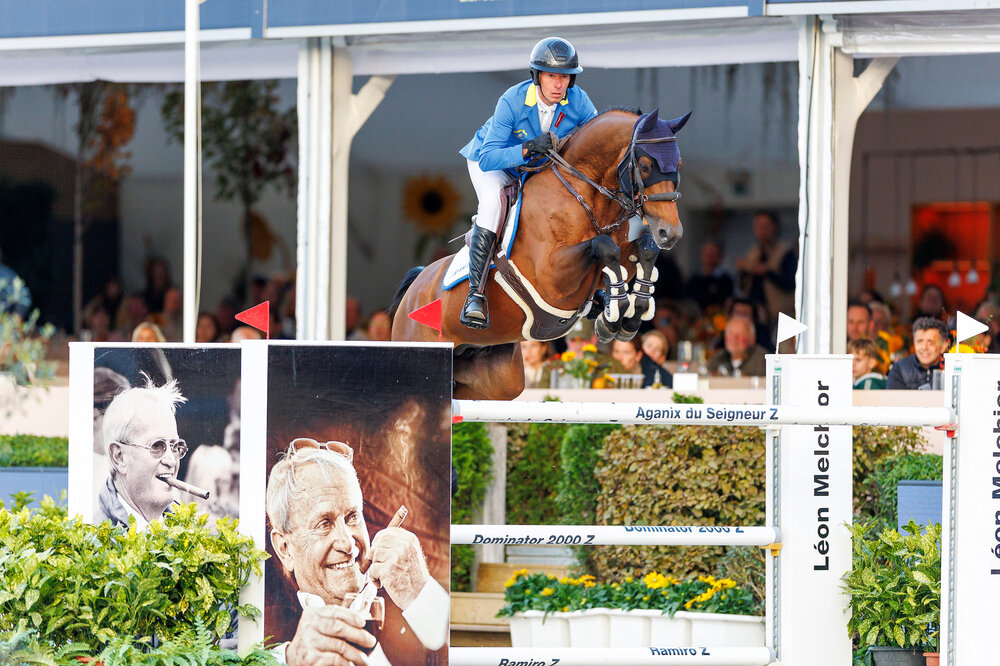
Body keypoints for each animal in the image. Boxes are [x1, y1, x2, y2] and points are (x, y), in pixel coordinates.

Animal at [390, 107, 690, 400]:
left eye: (678, 165)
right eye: (646, 166)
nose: (671, 233)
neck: (584, 194)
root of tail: (416, 286)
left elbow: (643, 249)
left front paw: (630, 312)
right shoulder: (552, 278)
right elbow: (605, 246)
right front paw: (616, 311)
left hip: (498, 380)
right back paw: (474, 308)